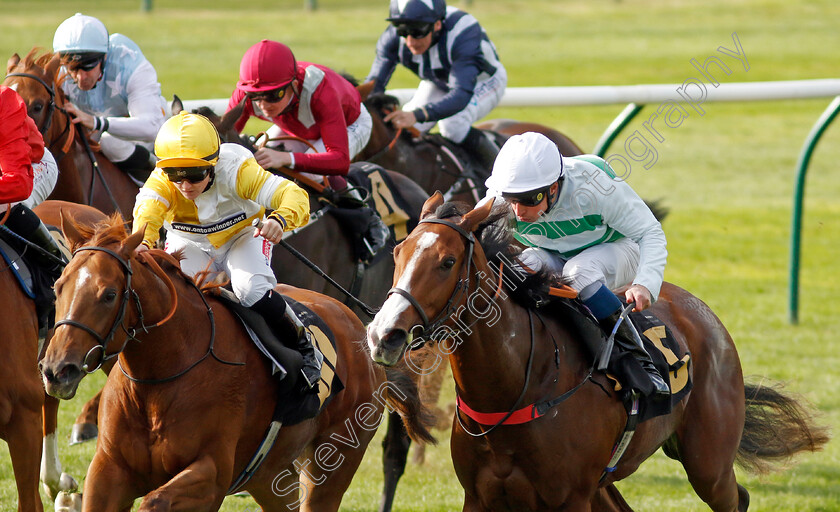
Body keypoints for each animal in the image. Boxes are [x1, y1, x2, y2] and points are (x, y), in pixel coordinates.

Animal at [37, 214, 434, 510]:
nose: (57, 369)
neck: (161, 378)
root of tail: (363, 334)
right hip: (271, 478)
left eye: (108, 294)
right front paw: (65, 497)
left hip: (334, 462)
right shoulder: (108, 472)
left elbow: (155, 501)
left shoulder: (211, 475)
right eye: (58, 285)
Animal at [368, 193, 828, 512]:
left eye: (447, 262)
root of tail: (705, 314)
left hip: (708, 463)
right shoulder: (481, 497)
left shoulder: (569, 497)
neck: (518, 386)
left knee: (735, 498)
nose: (383, 335)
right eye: (397, 252)